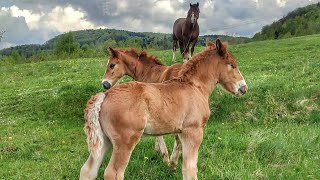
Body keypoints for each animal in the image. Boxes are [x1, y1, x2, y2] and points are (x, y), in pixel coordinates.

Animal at [79, 38, 248, 179]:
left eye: (112, 65)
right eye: (233, 65)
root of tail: (104, 95)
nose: (243, 88)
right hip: (125, 142)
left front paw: (170, 162)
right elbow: (190, 169)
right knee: (112, 173)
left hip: (105, 140)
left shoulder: (180, 131)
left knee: (88, 170)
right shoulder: (193, 132)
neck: (194, 86)